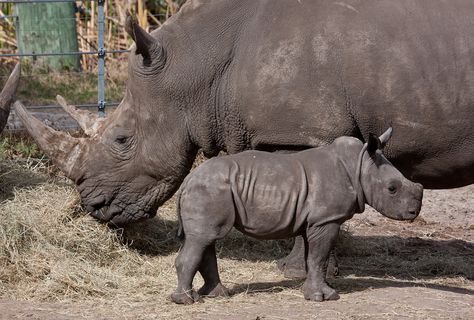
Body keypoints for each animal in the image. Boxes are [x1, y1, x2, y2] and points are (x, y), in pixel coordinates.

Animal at [170, 126, 422, 304]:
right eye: (392, 188)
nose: (414, 212)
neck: (359, 165)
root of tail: (188, 180)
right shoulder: (327, 219)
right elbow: (319, 257)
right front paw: (326, 297)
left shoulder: (315, 220)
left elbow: (314, 258)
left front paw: (314, 292)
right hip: (209, 189)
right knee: (203, 239)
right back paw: (187, 301)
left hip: (211, 189)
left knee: (207, 238)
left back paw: (217, 295)